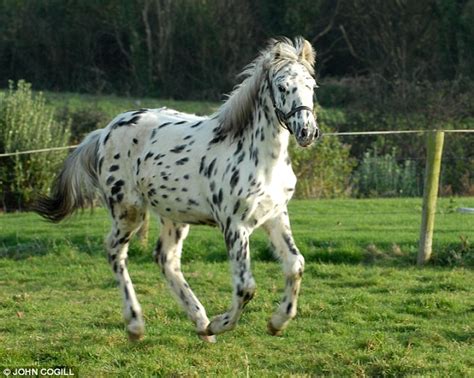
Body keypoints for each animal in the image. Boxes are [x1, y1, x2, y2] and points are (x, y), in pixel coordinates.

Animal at [35, 36, 320, 342]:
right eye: (282, 86)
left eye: (311, 86)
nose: (306, 131)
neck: (261, 158)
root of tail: (103, 132)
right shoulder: (234, 225)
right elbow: (246, 287)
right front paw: (222, 323)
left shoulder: (275, 216)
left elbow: (295, 264)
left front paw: (277, 322)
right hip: (128, 210)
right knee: (115, 251)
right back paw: (136, 325)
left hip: (174, 214)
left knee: (166, 259)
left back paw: (201, 323)